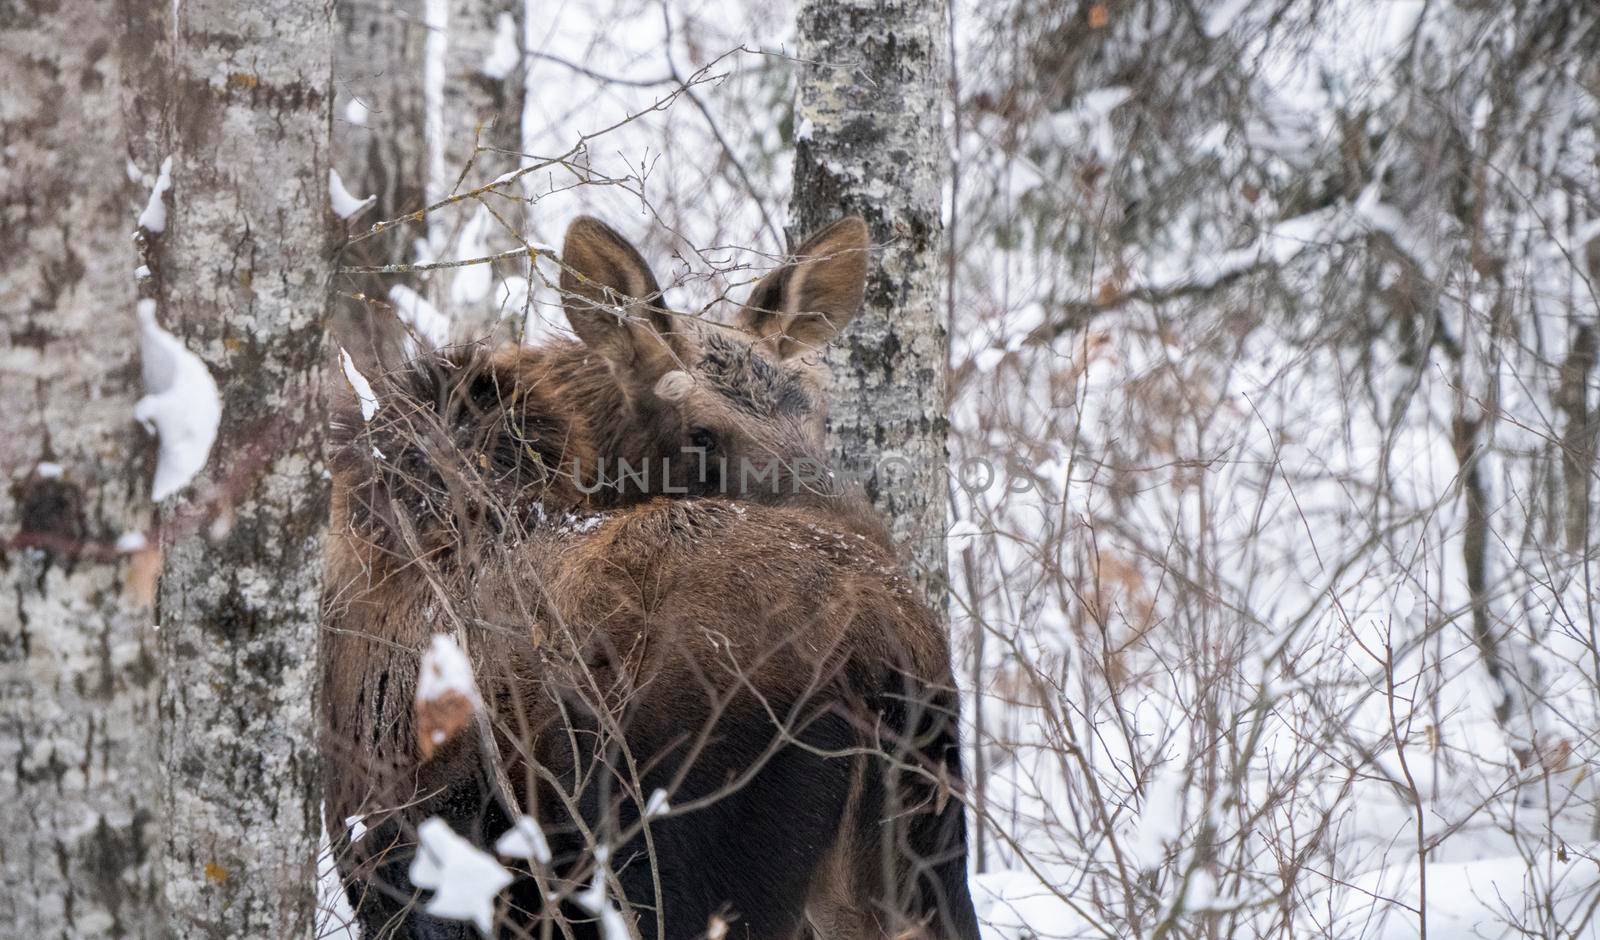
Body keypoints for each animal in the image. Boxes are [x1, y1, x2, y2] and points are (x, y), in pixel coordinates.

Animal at [321, 217, 972, 940]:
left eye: (821, 418)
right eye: (702, 434)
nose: (870, 532)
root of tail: (885, 657)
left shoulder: (388, 860)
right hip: (922, 867)